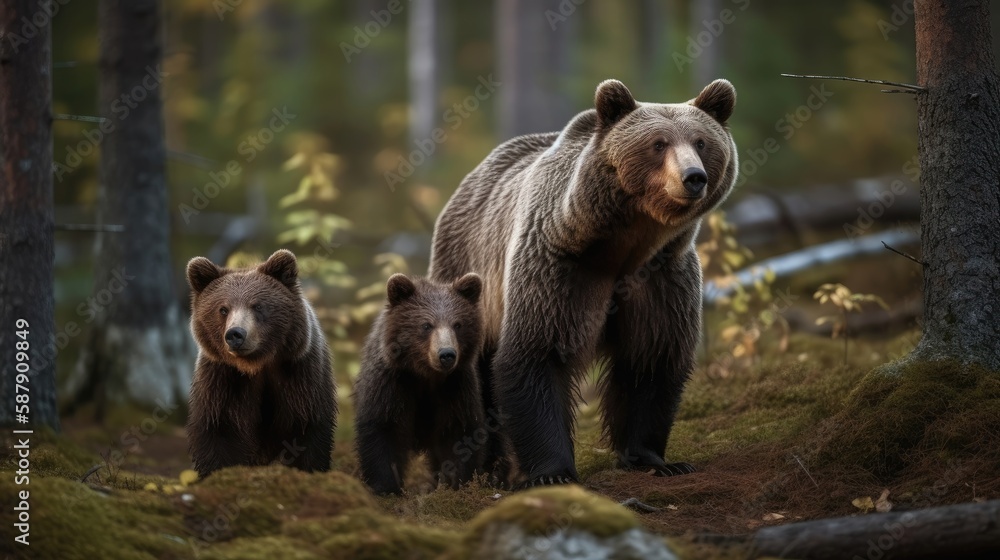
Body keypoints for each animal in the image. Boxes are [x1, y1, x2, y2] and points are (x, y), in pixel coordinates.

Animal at [185, 249, 337, 477]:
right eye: (223, 309)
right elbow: (218, 431)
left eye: (257, 306)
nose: (235, 334)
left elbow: (307, 431)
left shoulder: (300, 374)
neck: (257, 364)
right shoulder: (223, 379)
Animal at [354, 272, 486, 495]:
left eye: (458, 324)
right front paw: (386, 485)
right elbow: (383, 430)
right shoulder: (392, 384)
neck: (426, 375)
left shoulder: (455, 388)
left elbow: (459, 433)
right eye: (426, 325)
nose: (447, 354)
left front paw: (457, 483)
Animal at [429, 79, 738, 487]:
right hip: (467, 274)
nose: (693, 177)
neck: (624, 243)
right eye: (658, 143)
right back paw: (483, 471)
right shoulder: (559, 265)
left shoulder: (661, 274)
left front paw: (656, 459)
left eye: (701, 142)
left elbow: (651, 358)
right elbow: (537, 354)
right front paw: (553, 472)